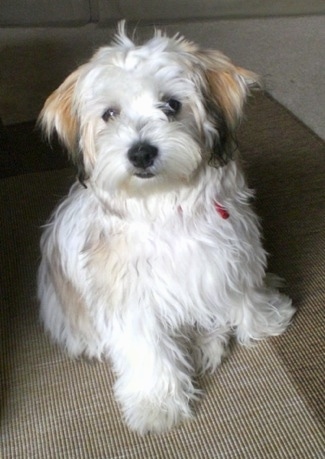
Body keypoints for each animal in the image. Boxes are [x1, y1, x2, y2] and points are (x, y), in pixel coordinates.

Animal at [37, 22, 294, 434]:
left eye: (172, 105)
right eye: (110, 114)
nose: (141, 152)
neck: (165, 204)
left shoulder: (232, 252)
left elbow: (243, 292)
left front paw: (265, 318)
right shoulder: (131, 297)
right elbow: (148, 350)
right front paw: (156, 404)